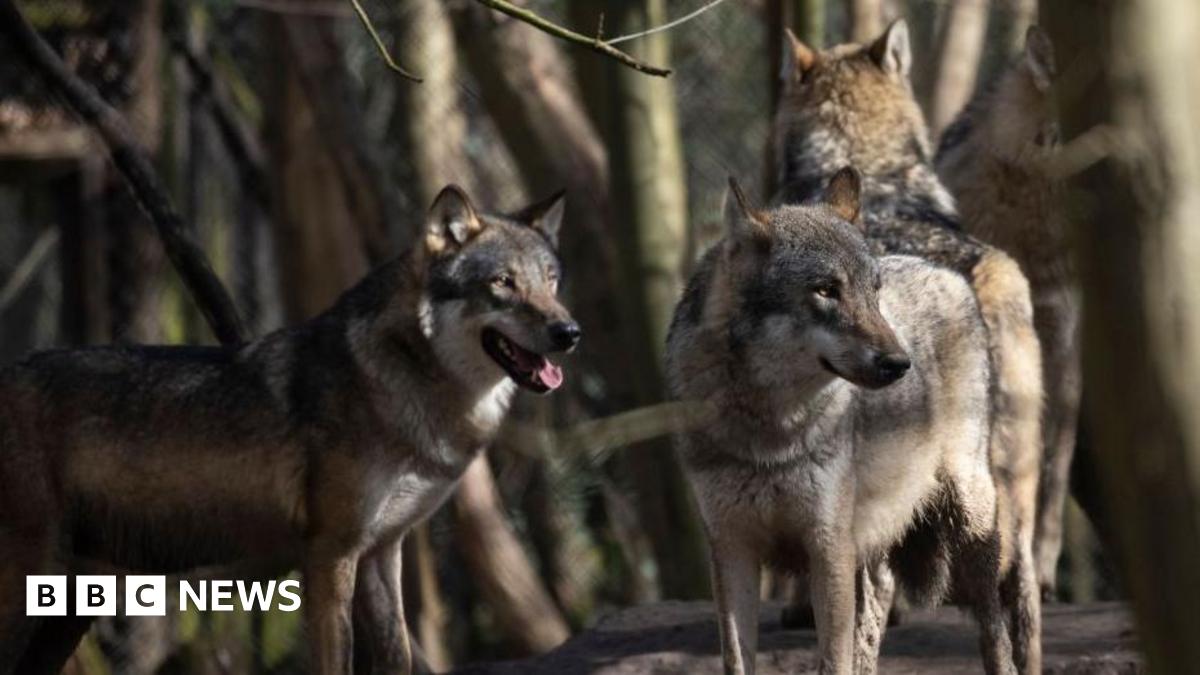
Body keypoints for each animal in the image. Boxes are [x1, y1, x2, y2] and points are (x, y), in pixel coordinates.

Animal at [0, 185, 580, 675]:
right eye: (502, 283)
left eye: (551, 281)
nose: (569, 332)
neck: (397, 381)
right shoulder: (329, 554)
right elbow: (335, 662)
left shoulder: (381, 553)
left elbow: (397, 658)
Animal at [669, 168, 1016, 675]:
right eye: (825, 290)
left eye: (873, 291)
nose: (899, 364)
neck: (769, 430)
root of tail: (943, 271)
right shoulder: (732, 550)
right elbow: (737, 658)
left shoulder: (828, 545)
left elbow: (833, 659)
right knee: (878, 602)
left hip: (969, 517)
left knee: (994, 625)